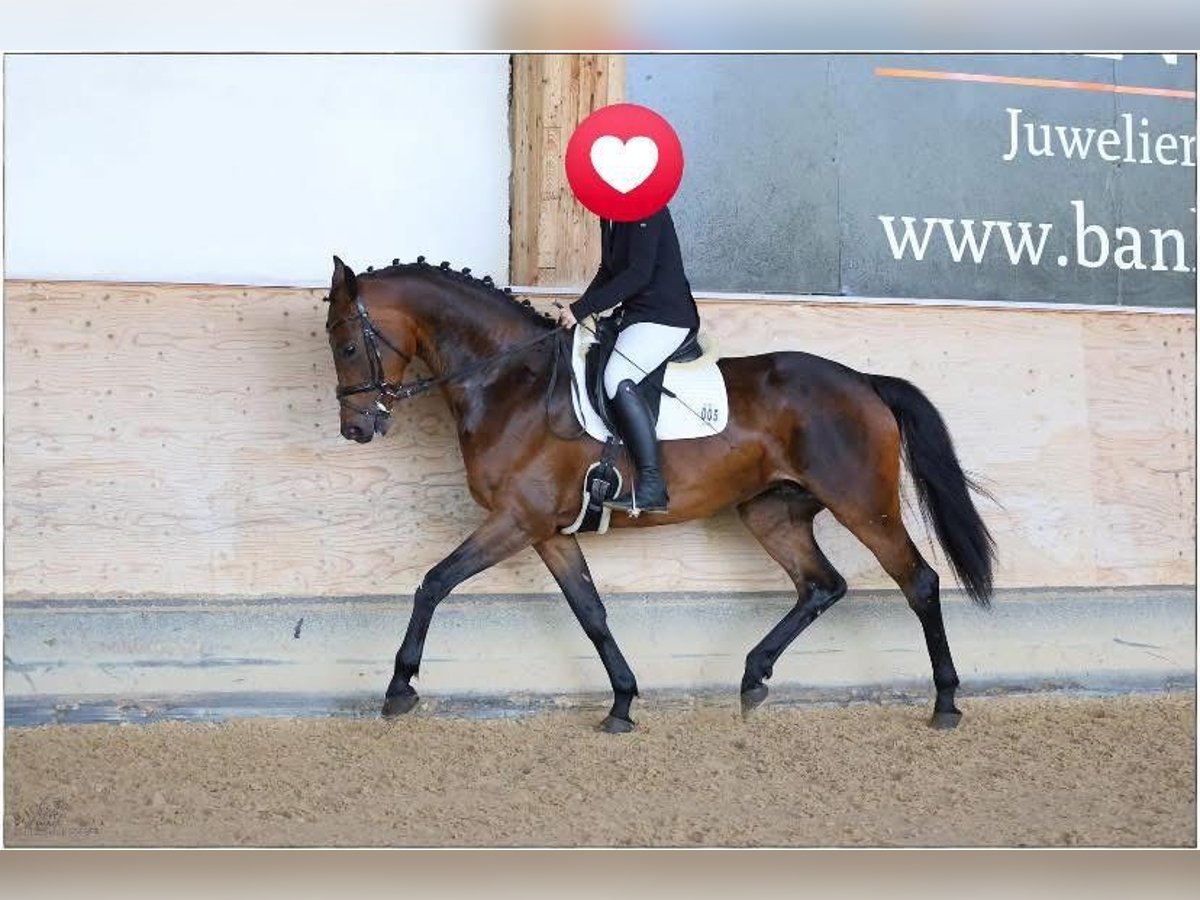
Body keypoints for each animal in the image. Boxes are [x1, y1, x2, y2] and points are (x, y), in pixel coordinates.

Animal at [323, 254, 996, 733]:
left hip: (863, 504)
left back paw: (945, 703)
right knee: (821, 585)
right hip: (771, 511)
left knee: (918, 582)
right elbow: (591, 613)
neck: (510, 381)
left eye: (348, 344)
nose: (356, 429)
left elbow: (434, 582)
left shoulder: (516, 519)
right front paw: (622, 703)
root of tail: (863, 381)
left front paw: (400, 687)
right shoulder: (546, 531)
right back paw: (753, 679)